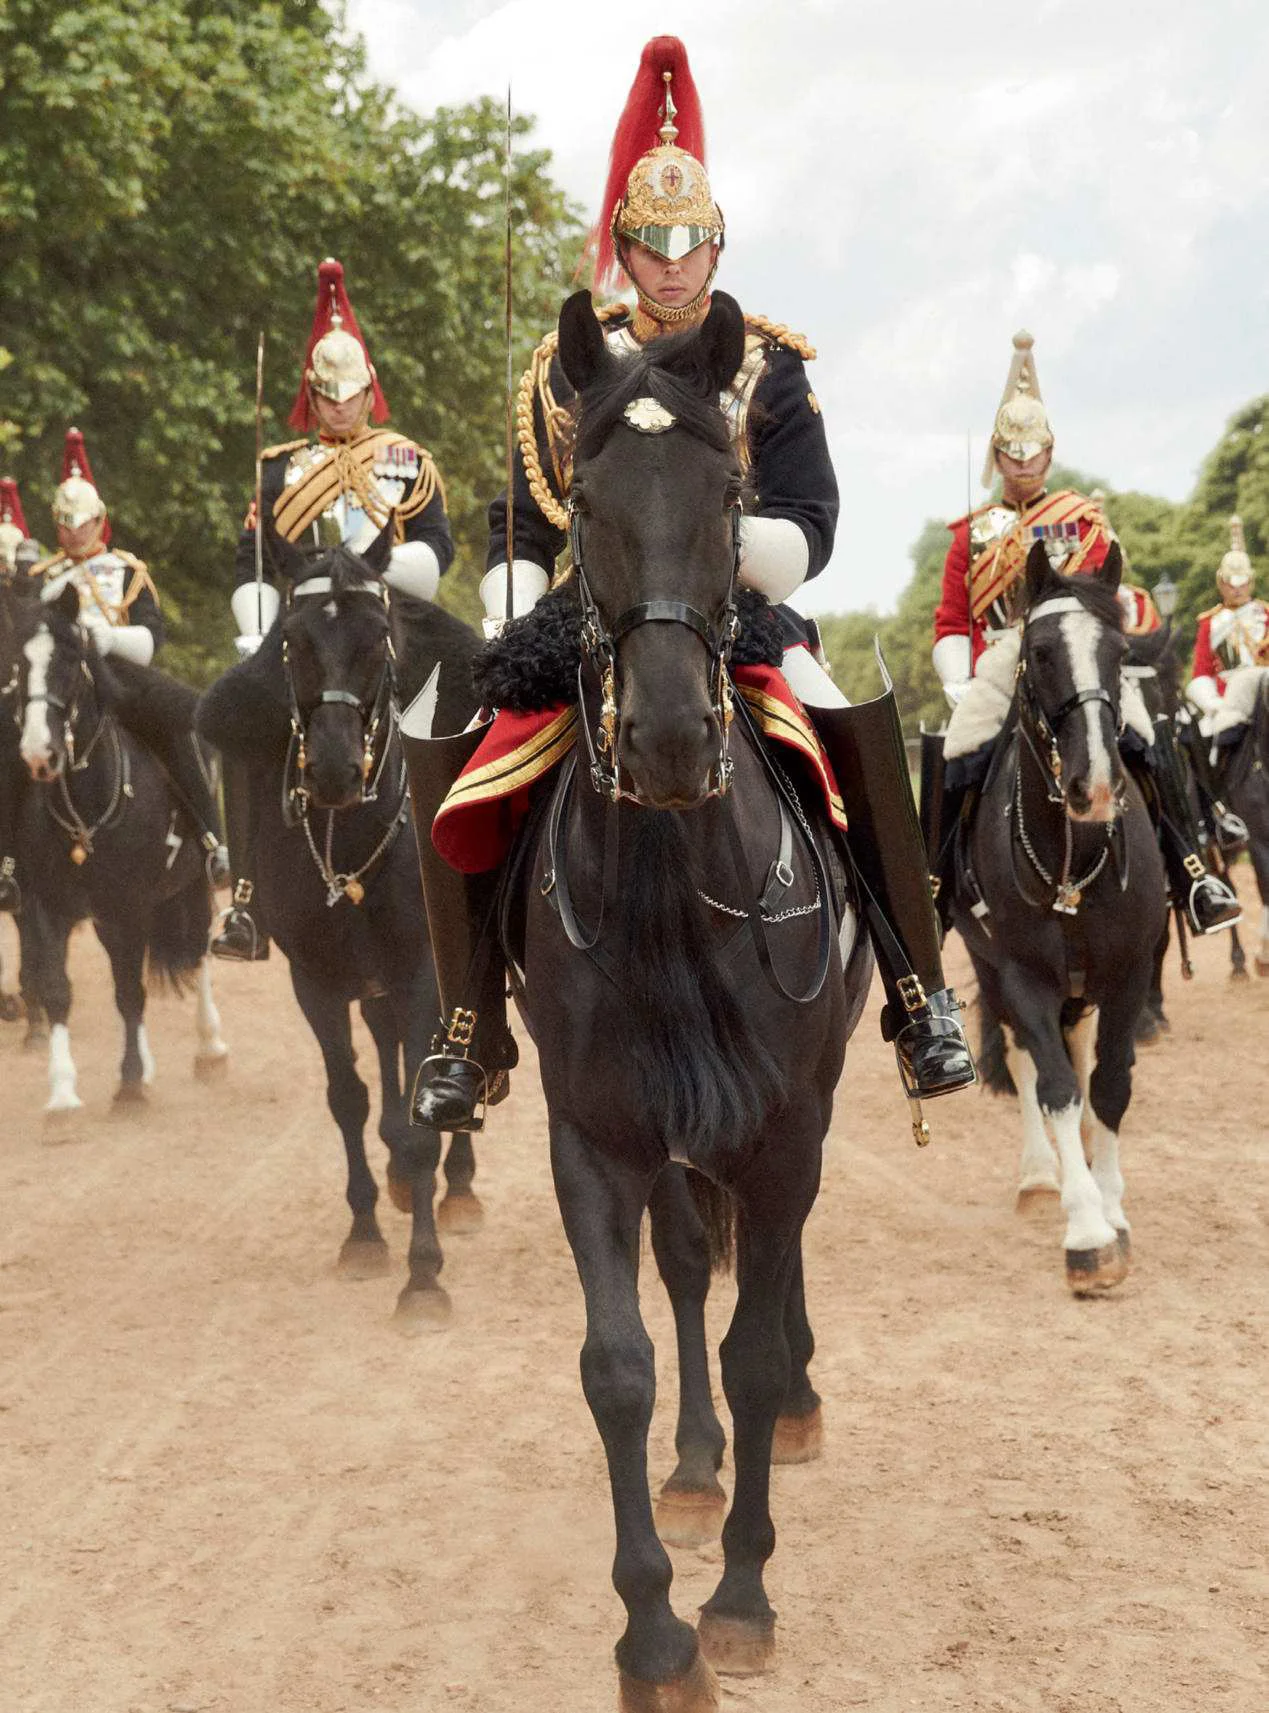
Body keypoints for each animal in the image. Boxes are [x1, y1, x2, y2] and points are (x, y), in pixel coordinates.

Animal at [10, 578, 227, 1110]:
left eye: (71, 659)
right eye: (20, 664)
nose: (39, 753)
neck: (84, 808)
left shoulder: (127, 905)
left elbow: (129, 991)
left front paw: (128, 1084)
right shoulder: (47, 904)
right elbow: (57, 987)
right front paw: (62, 1095)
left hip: (189, 885)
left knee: (199, 951)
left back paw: (210, 1048)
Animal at [197, 531, 486, 1322]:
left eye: (376, 636)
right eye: (292, 641)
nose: (331, 770)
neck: (351, 831)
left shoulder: (420, 975)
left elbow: (421, 1117)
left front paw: (424, 1276)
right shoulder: (318, 980)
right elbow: (349, 1099)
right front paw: (363, 1236)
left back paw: (456, 1189)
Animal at [405, 294, 869, 1713]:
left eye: (727, 495)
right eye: (593, 501)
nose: (666, 739)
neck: (674, 885)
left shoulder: (784, 1126)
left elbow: (758, 1344)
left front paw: (742, 1596)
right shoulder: (601, 1135)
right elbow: (620, 1364)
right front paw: (655, 1635)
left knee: (768, 1286)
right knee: (686, 1273)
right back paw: (697, 1465)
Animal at [952, 541, 1164, 1288]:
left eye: (1118, 651)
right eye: (1040, 651)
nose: (1093, 786)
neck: (1074, 855)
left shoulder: (1129, 974)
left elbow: (1109, 1084)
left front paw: (1114, 1207)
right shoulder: (1025, 978)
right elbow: (1056, 1086)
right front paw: (1086, 1230)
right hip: (992, 971)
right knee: (1025, 1063)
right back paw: (1042, 1175)